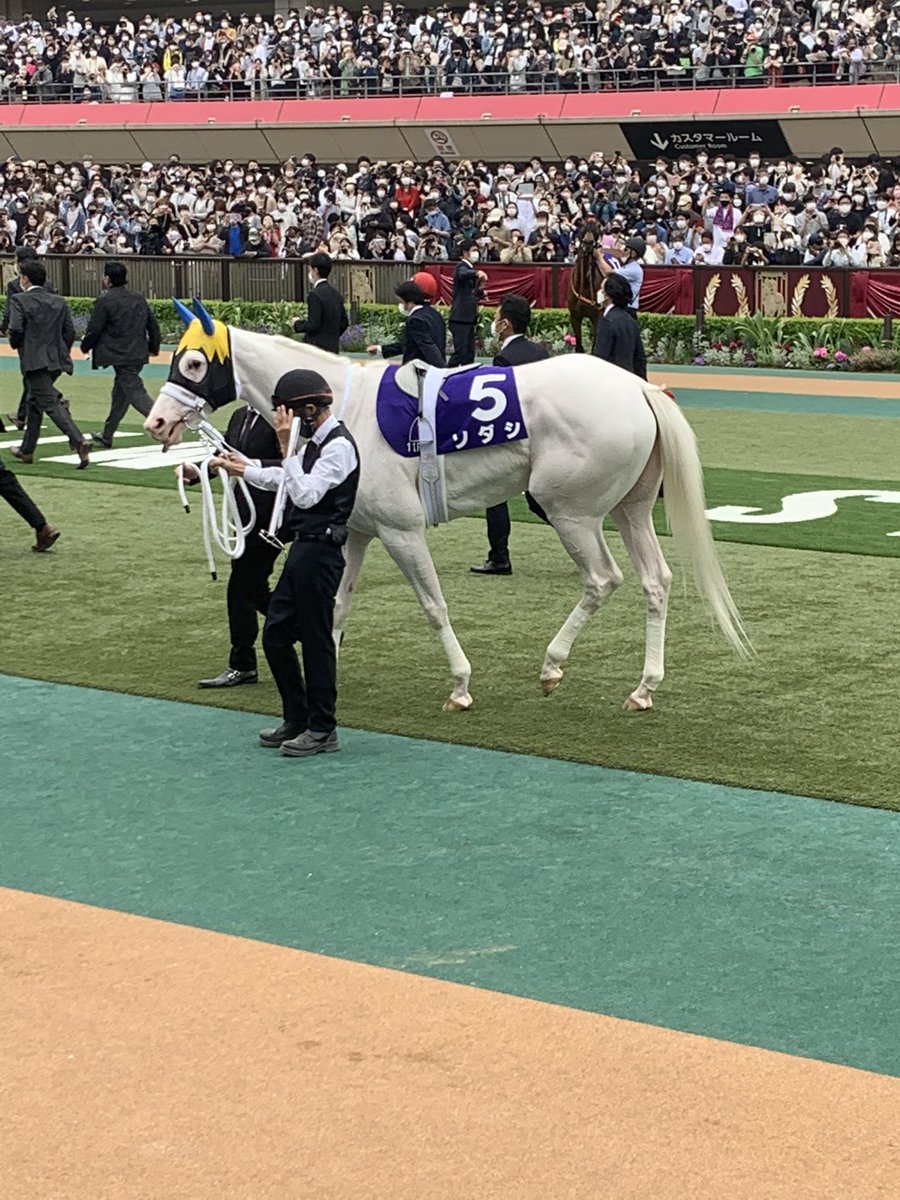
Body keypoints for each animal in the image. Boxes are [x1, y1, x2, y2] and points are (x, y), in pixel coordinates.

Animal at [145, 298, 749, 714]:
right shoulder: (357, 530)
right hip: (630, 509)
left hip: (571, 511)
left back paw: (552, 666)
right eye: (173, 359)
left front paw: (460, 686)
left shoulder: (401, 529)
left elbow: (433, 605)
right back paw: (644, 687)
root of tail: (640, 389)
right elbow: (336, 605)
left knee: (604, 579)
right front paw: (325, 674)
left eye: (193, 363)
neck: (346, 409)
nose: (155, 421)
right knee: (656, 581)